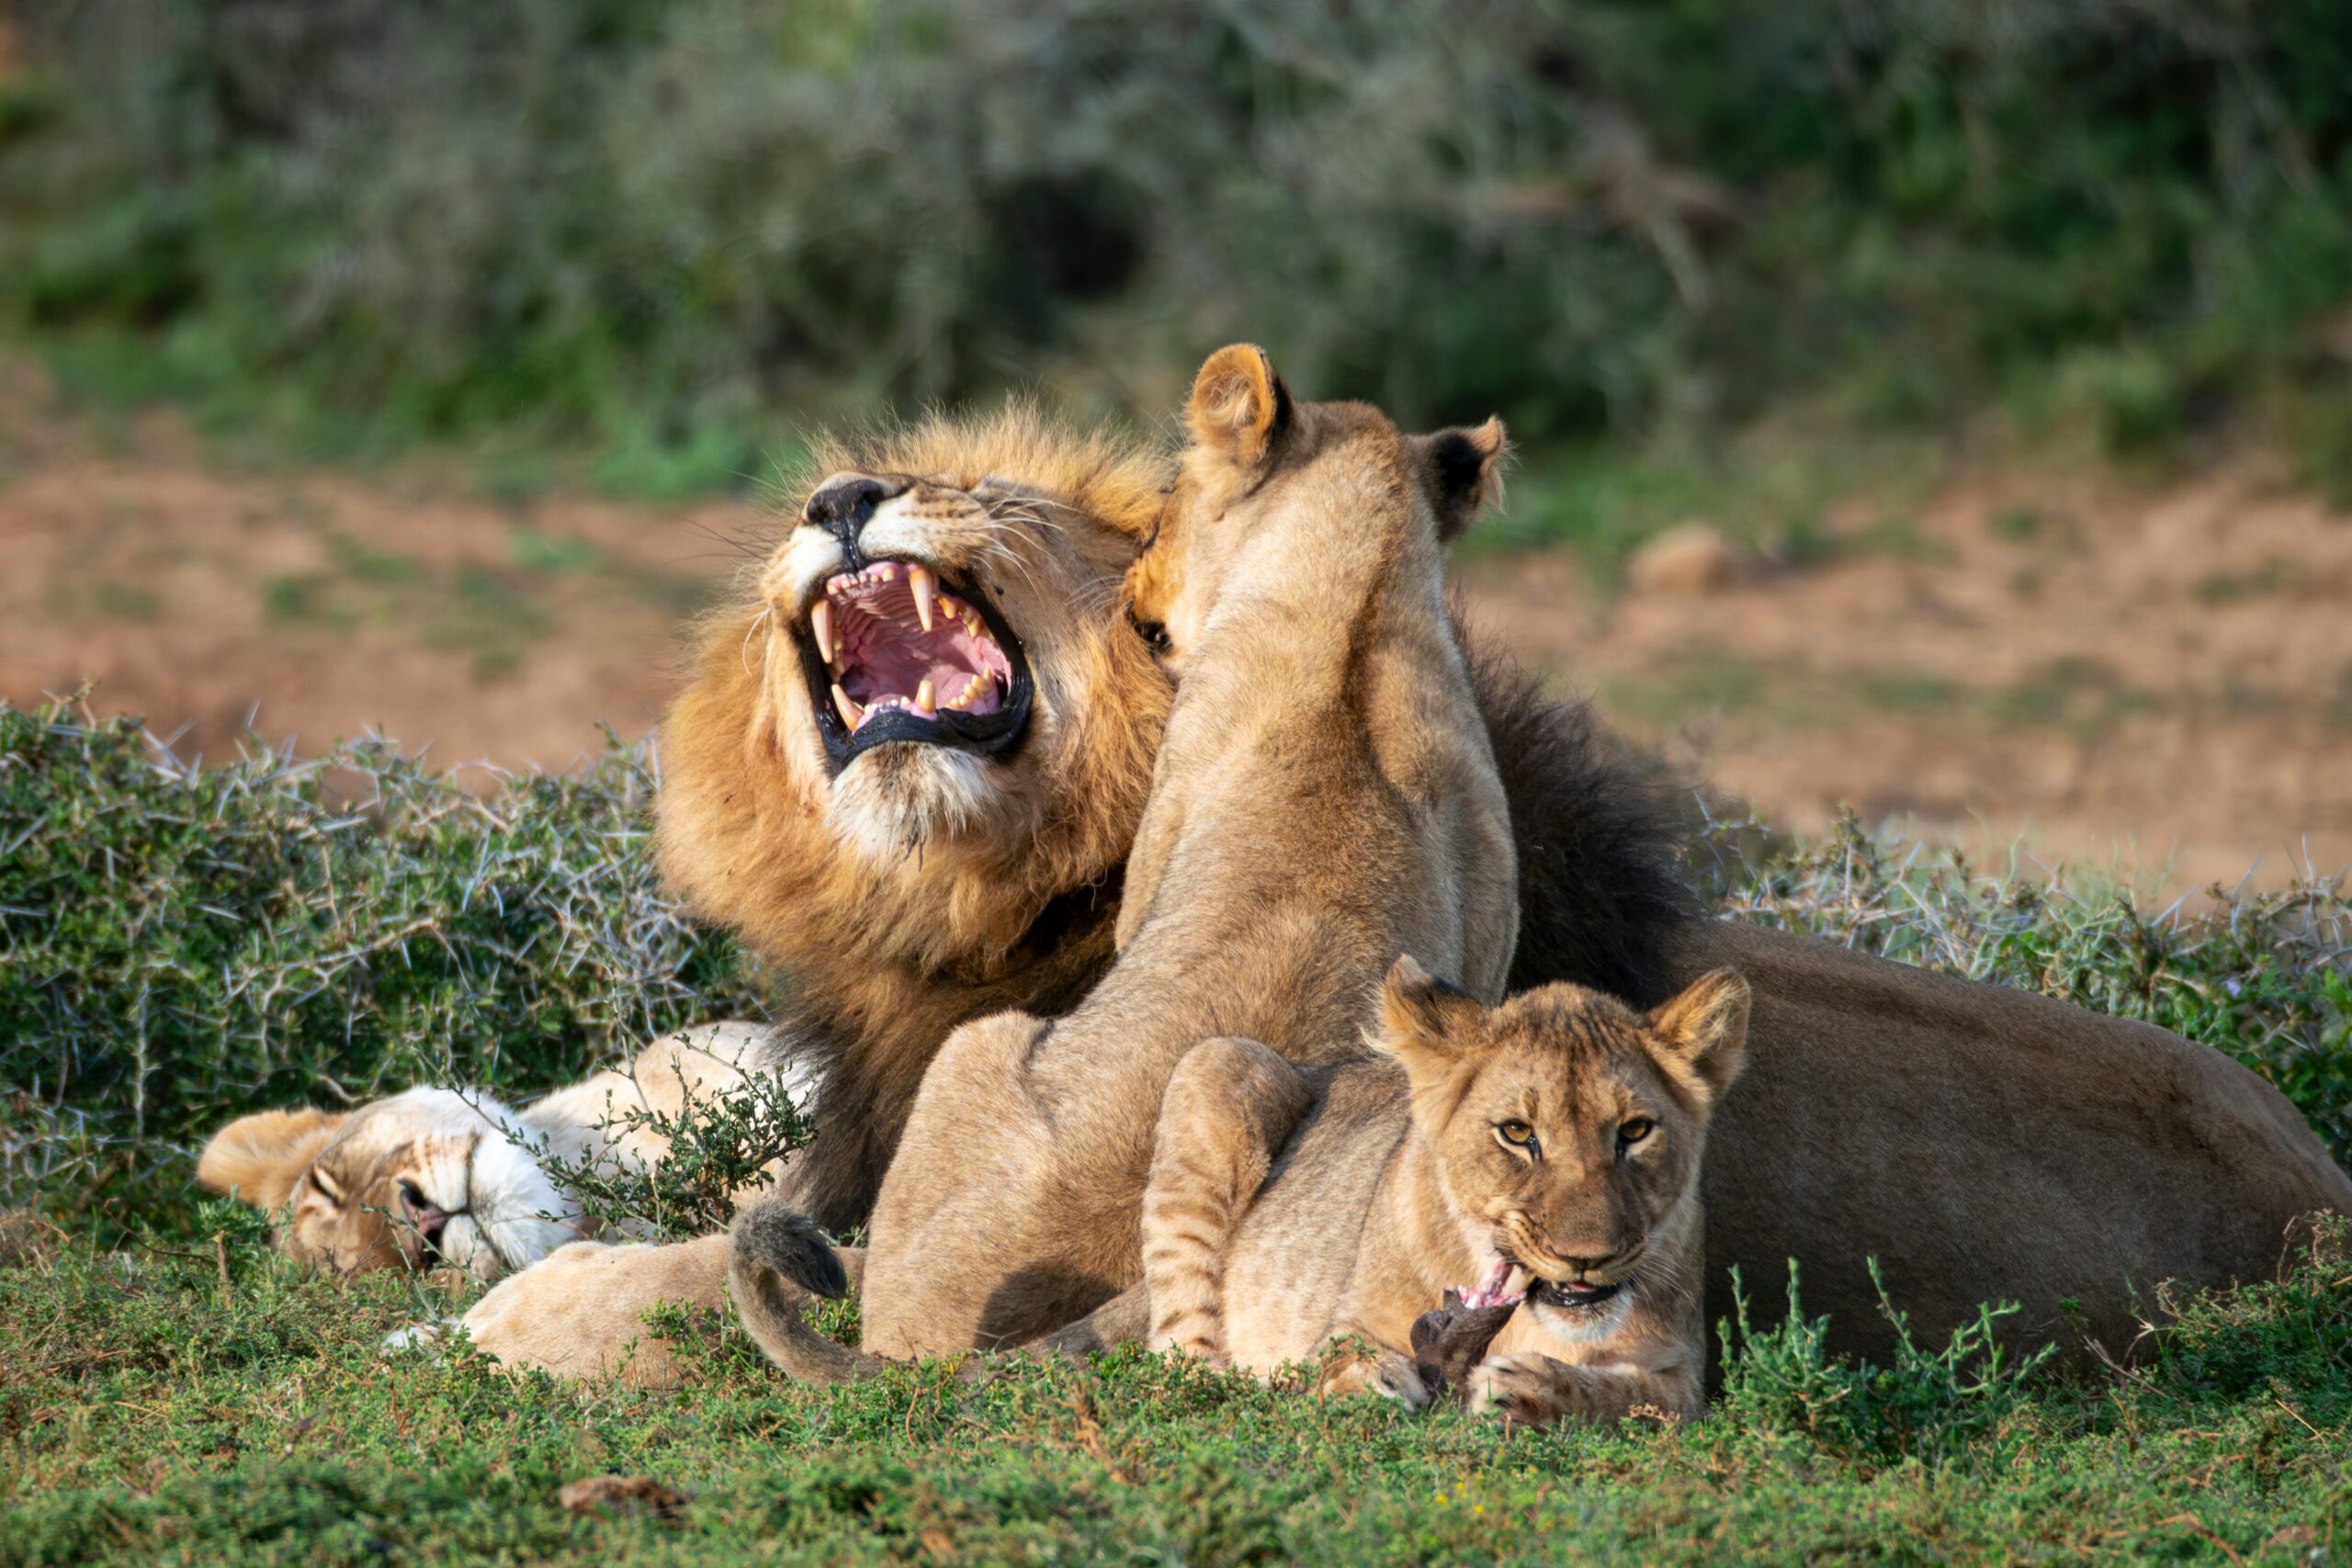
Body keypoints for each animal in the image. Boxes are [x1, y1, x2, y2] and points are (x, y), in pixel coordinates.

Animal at [1141, 956, 1748, 1427]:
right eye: (1517, 1133)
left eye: (1635, 1130)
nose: (1586, 1259)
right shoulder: (1357, 1320)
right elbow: (1340, 1356)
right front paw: (1366, 1387)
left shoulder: (1685, 1375)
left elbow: (1637, 1400)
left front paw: (1530, 1391)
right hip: (1217, 1063)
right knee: (1177, 1352)